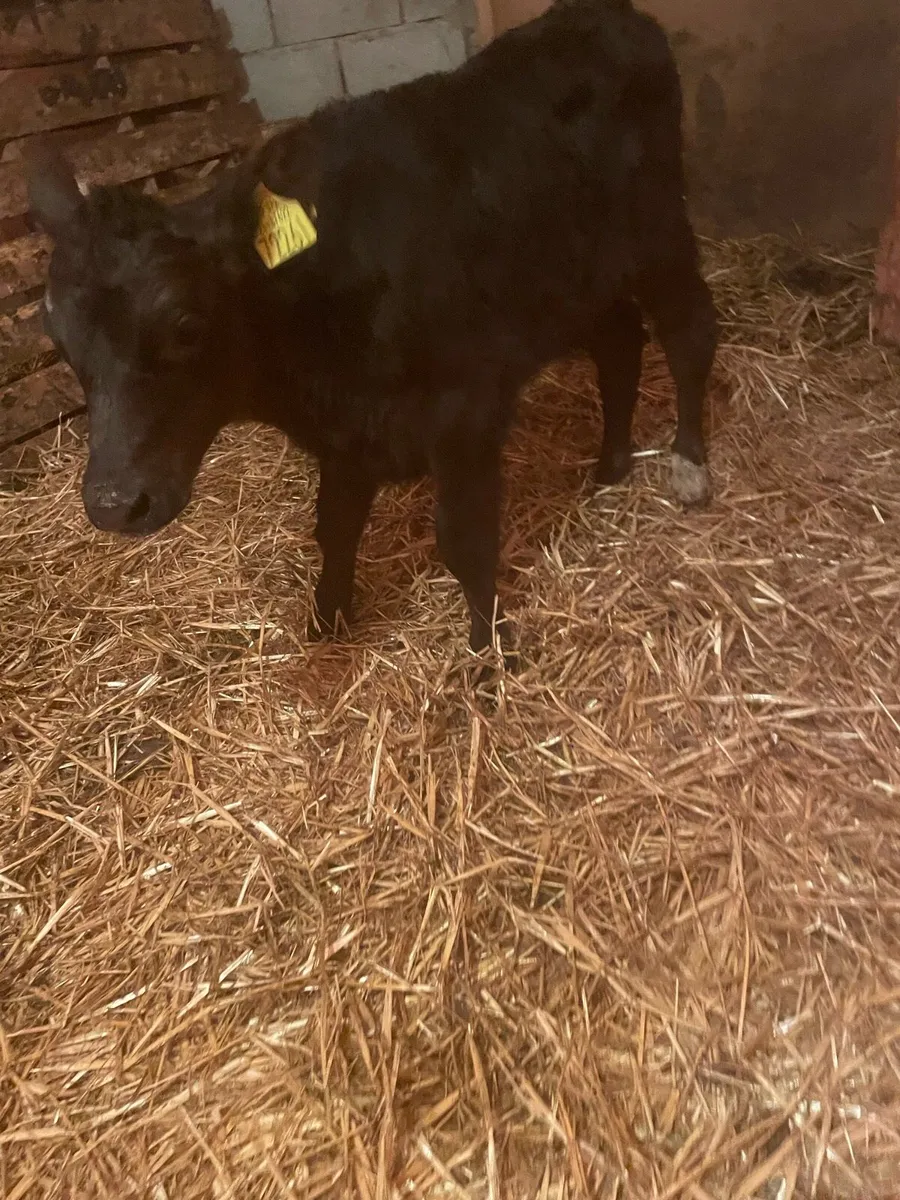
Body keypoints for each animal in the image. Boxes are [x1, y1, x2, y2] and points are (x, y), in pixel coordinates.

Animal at [27, 0, 718, 668]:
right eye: (60, 338)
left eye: (185, 325)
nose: (114, 503)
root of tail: (605, 14)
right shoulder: (347, 433)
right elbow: (334, 526)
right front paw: (328, 620)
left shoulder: (463, 410)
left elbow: (463, 540)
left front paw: (488, 651)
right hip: (580, 279)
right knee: (620, 343)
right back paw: (610, 464)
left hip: (660, 229)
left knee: (689, 331)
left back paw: (688, 463)